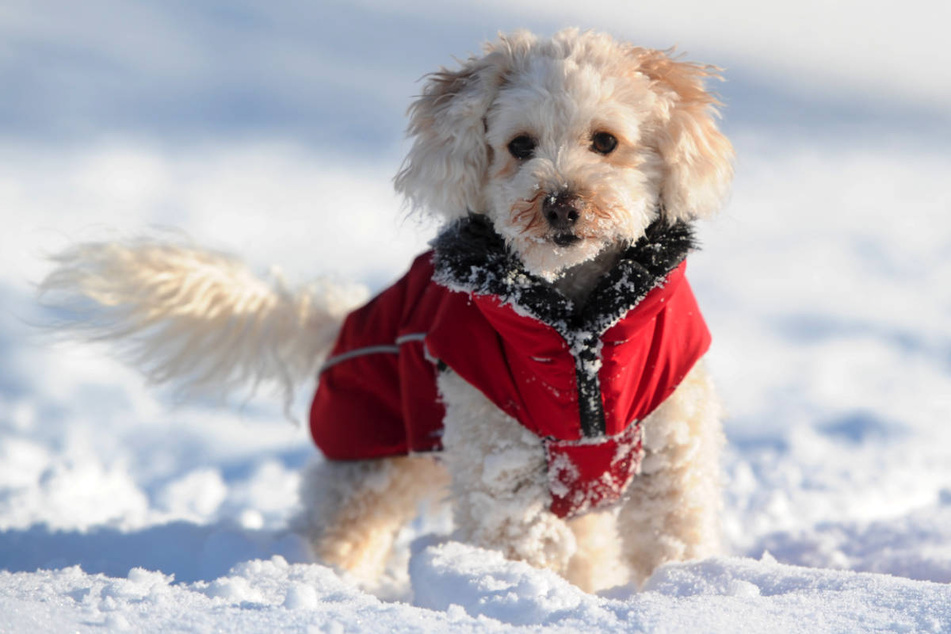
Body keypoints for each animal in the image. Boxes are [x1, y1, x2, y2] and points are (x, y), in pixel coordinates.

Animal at [41, 28, 732, 592]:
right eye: (520, 145)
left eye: (606, 141)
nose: (561, 204)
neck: (576, 324)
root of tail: (346, 319)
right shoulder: (501, 460)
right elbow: (521, 546)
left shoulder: (670, 455)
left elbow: (671, 540)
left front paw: (674, 591)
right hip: (367, 461)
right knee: (341, 530)